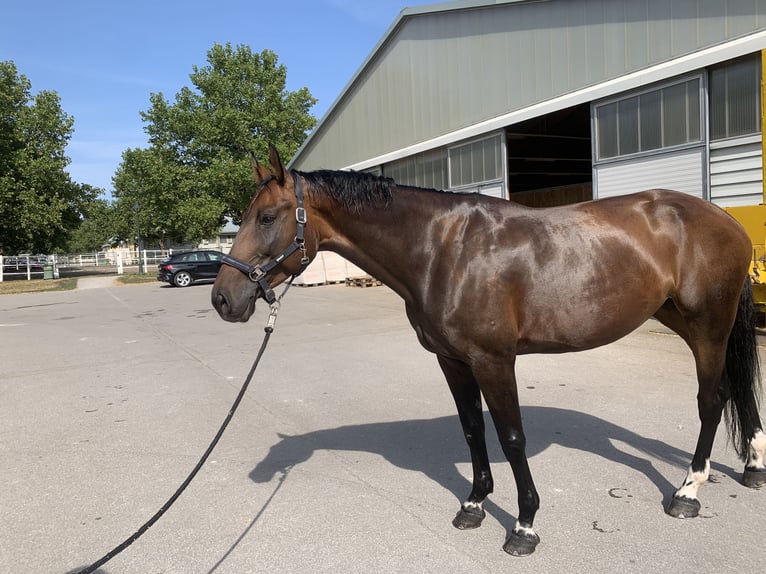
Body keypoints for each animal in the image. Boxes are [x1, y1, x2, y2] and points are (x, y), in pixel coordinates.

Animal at [208, 145, 760, 560]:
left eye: (267, 216)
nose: (223, 300)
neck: (443, 250)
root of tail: (725, 219)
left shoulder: (494, 361)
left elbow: (511, 437)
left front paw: (525, 525)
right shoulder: (452, 361)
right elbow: (473, 430)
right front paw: (473, 505)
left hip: (708, 325)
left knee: (711, 401)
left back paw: (687, 492)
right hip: (685, 320)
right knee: (737, 391)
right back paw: (752, 466)